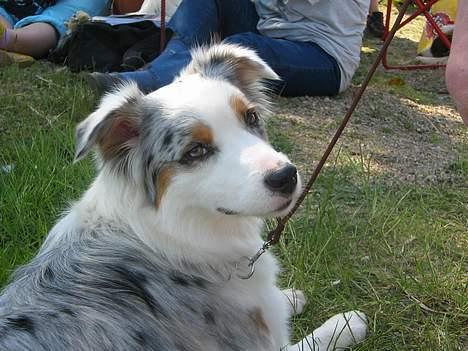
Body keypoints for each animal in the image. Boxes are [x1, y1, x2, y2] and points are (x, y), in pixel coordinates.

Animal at [0, 42, 368, 350]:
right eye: (196, 151)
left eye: (251, 117)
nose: (285, 176)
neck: (172, 232)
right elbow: (313, 341)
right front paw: (347, 322)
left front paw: (290, 296)